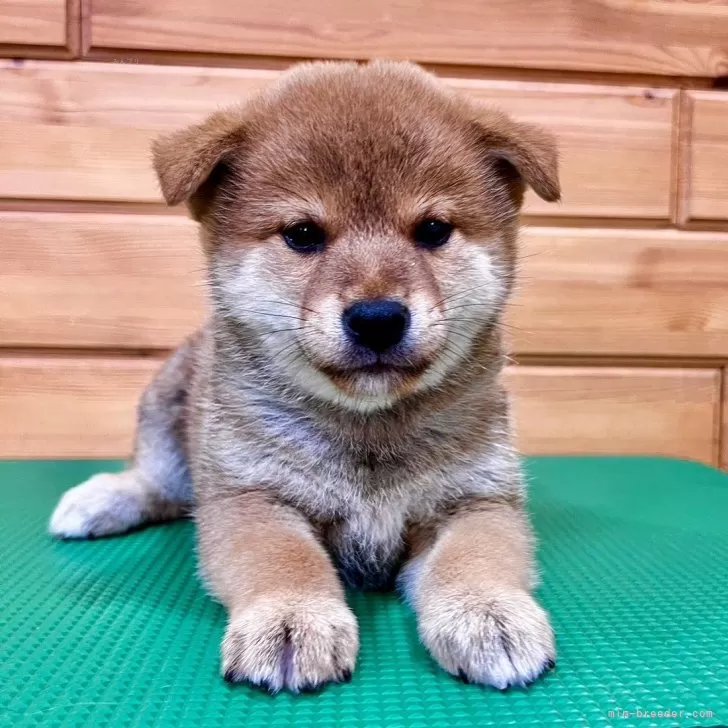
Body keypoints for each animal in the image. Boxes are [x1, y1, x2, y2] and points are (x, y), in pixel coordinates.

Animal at [48, 61, 560, 692]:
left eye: (434, 230)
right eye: (302, 234)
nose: (377, 318)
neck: (368, 432)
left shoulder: (475, 501)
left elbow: (476, 557)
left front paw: (488, 612)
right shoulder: (251, 497)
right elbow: (282, 560)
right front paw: (290, 619)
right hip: (167, 415)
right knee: (158, 484)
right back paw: (101, 499)